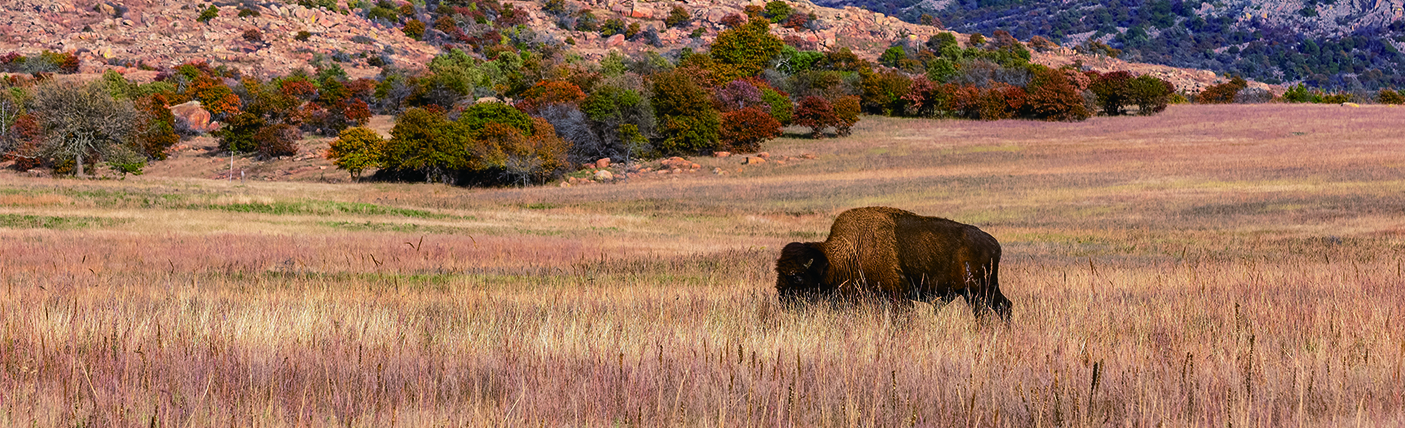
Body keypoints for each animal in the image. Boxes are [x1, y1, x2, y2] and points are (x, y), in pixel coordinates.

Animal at [781, 206, 1011, 319]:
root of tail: (993, 243)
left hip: (982, 289)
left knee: (1001, 307)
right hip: (973, 293)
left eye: (797, 277)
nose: (784, 302)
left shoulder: (897, 296)